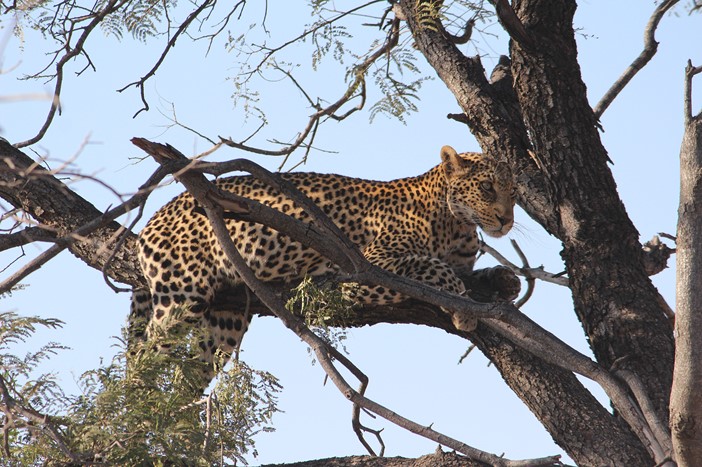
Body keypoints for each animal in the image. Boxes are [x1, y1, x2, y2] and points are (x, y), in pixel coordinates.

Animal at [131, 147, 516, 388]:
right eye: (486, 187)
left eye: (514, 193)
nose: (507, 220)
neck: (458, 225)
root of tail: (156, 214)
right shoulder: (368, 268)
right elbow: (433, 269)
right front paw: (463, 311)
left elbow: (469, 274)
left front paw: (505, 281)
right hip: (181, 297)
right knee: (145, 358)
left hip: (225, 320)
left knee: (190, 376)